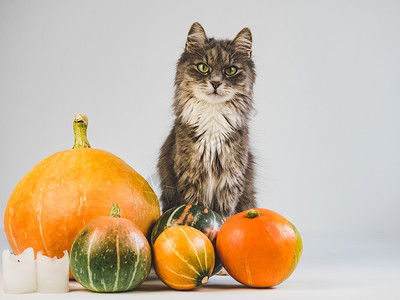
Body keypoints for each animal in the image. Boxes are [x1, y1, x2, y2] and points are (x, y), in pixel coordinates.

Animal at [158, 22, 258, 220]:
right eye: (203, 67)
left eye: (230, 70)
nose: (216, 83)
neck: (213, 118)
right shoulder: (190, 177)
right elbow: (194, 206)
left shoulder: (230, 181)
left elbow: (224, 216)